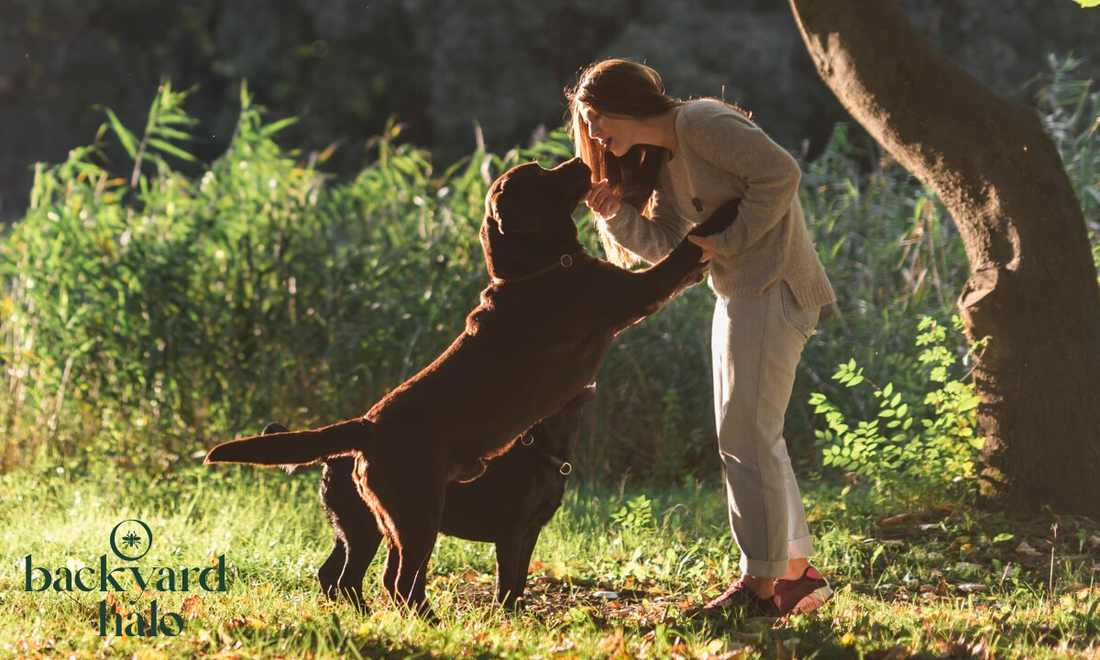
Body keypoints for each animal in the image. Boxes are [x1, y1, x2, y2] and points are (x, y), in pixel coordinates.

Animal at [206, 156, 739, 611]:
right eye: (540, 174)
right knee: (395, 581)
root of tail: (366, 425)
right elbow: (683, 250)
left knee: (365, 576)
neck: (540, 268)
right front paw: (726, 209)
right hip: (417, 513)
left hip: (390, 521)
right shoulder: (633, 292)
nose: (579, 161)